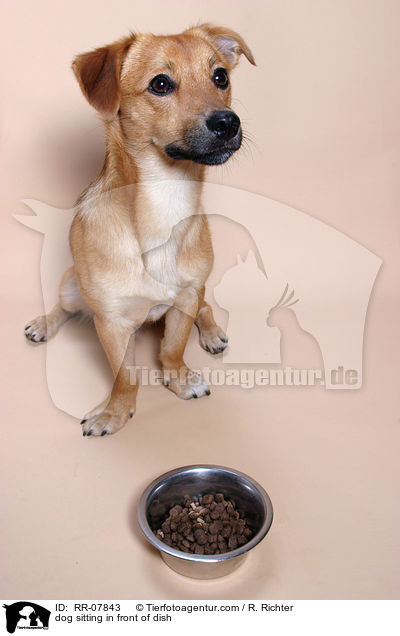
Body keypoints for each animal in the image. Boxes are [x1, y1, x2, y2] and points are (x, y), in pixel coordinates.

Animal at [25, 22, 256, 434]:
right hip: (70, 285)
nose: (228, 122)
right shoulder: (111, 322)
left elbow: (172, 348)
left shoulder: (185, 299)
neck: (167, 200)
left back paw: (212, 333)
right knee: (64, 308)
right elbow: (125, 375)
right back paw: (43, 323)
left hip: (196, 292)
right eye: (160, 84)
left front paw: (178, 379)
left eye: (221, 77)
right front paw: (116, 412)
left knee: (206, 306)